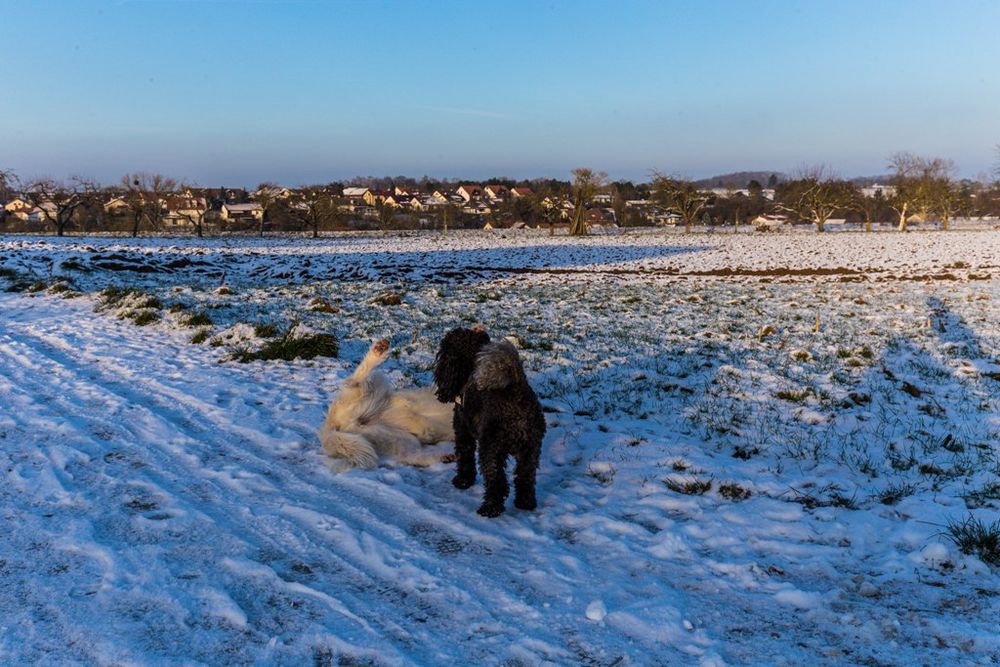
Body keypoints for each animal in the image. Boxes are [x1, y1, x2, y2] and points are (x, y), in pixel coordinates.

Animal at [318, 340, 456, 470]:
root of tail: (330, 424)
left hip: (400, 438)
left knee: (409, 456)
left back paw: (444, 457)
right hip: (375, 385)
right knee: (355, 380)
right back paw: (378, 351)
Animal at [434, 326, 548, 520]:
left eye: (445, 352)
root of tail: (516, 393)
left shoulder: (463, 431)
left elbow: (465, 457)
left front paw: (463, 481)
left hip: (491, 448)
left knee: (496, 481)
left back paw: (490, 508)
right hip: (531, 449)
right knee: (525, 477)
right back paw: (525, 503)